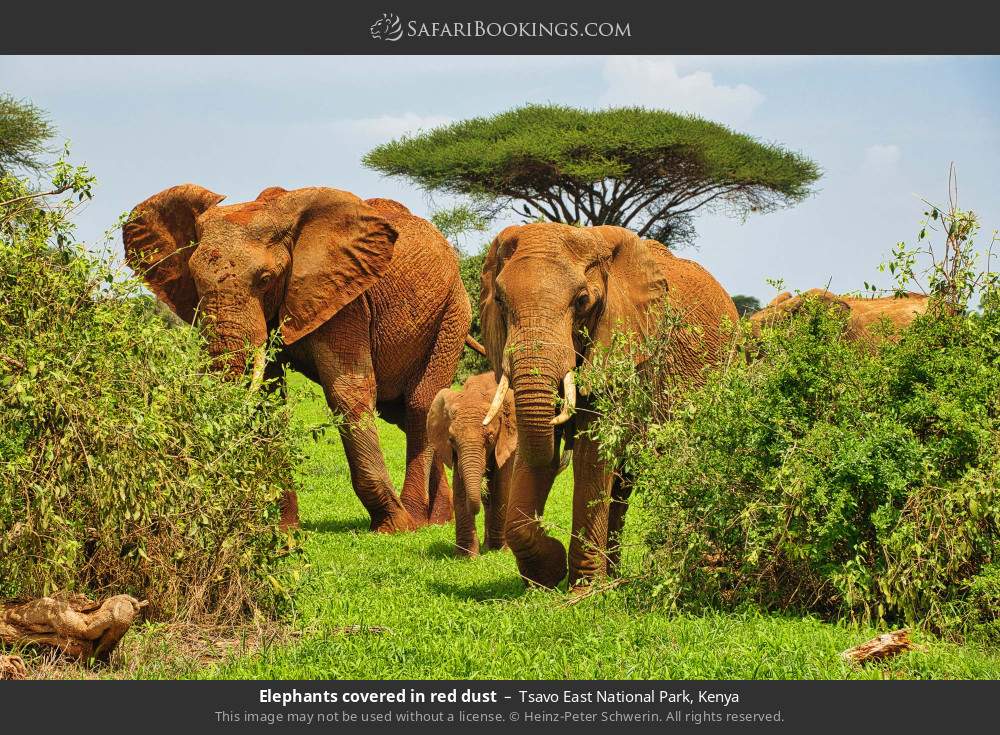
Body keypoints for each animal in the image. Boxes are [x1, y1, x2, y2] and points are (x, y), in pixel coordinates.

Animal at [120, 184, 472, 536]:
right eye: (193, 280)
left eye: (265, 279)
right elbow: (268, 399)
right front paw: (282, 531)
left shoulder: (345, 295)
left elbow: (347, 390)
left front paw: (393, 527)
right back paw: (437, 520)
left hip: (452, 313)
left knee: (419, 405)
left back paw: (416, 519)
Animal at [476, 221, 744, 588]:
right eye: (500, 301)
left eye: (582, 301)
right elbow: (538, 448)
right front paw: (549, 573)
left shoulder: (624, 352)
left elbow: (593, 453)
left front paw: (583, 591)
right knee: (621, 485)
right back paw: (615, 576)